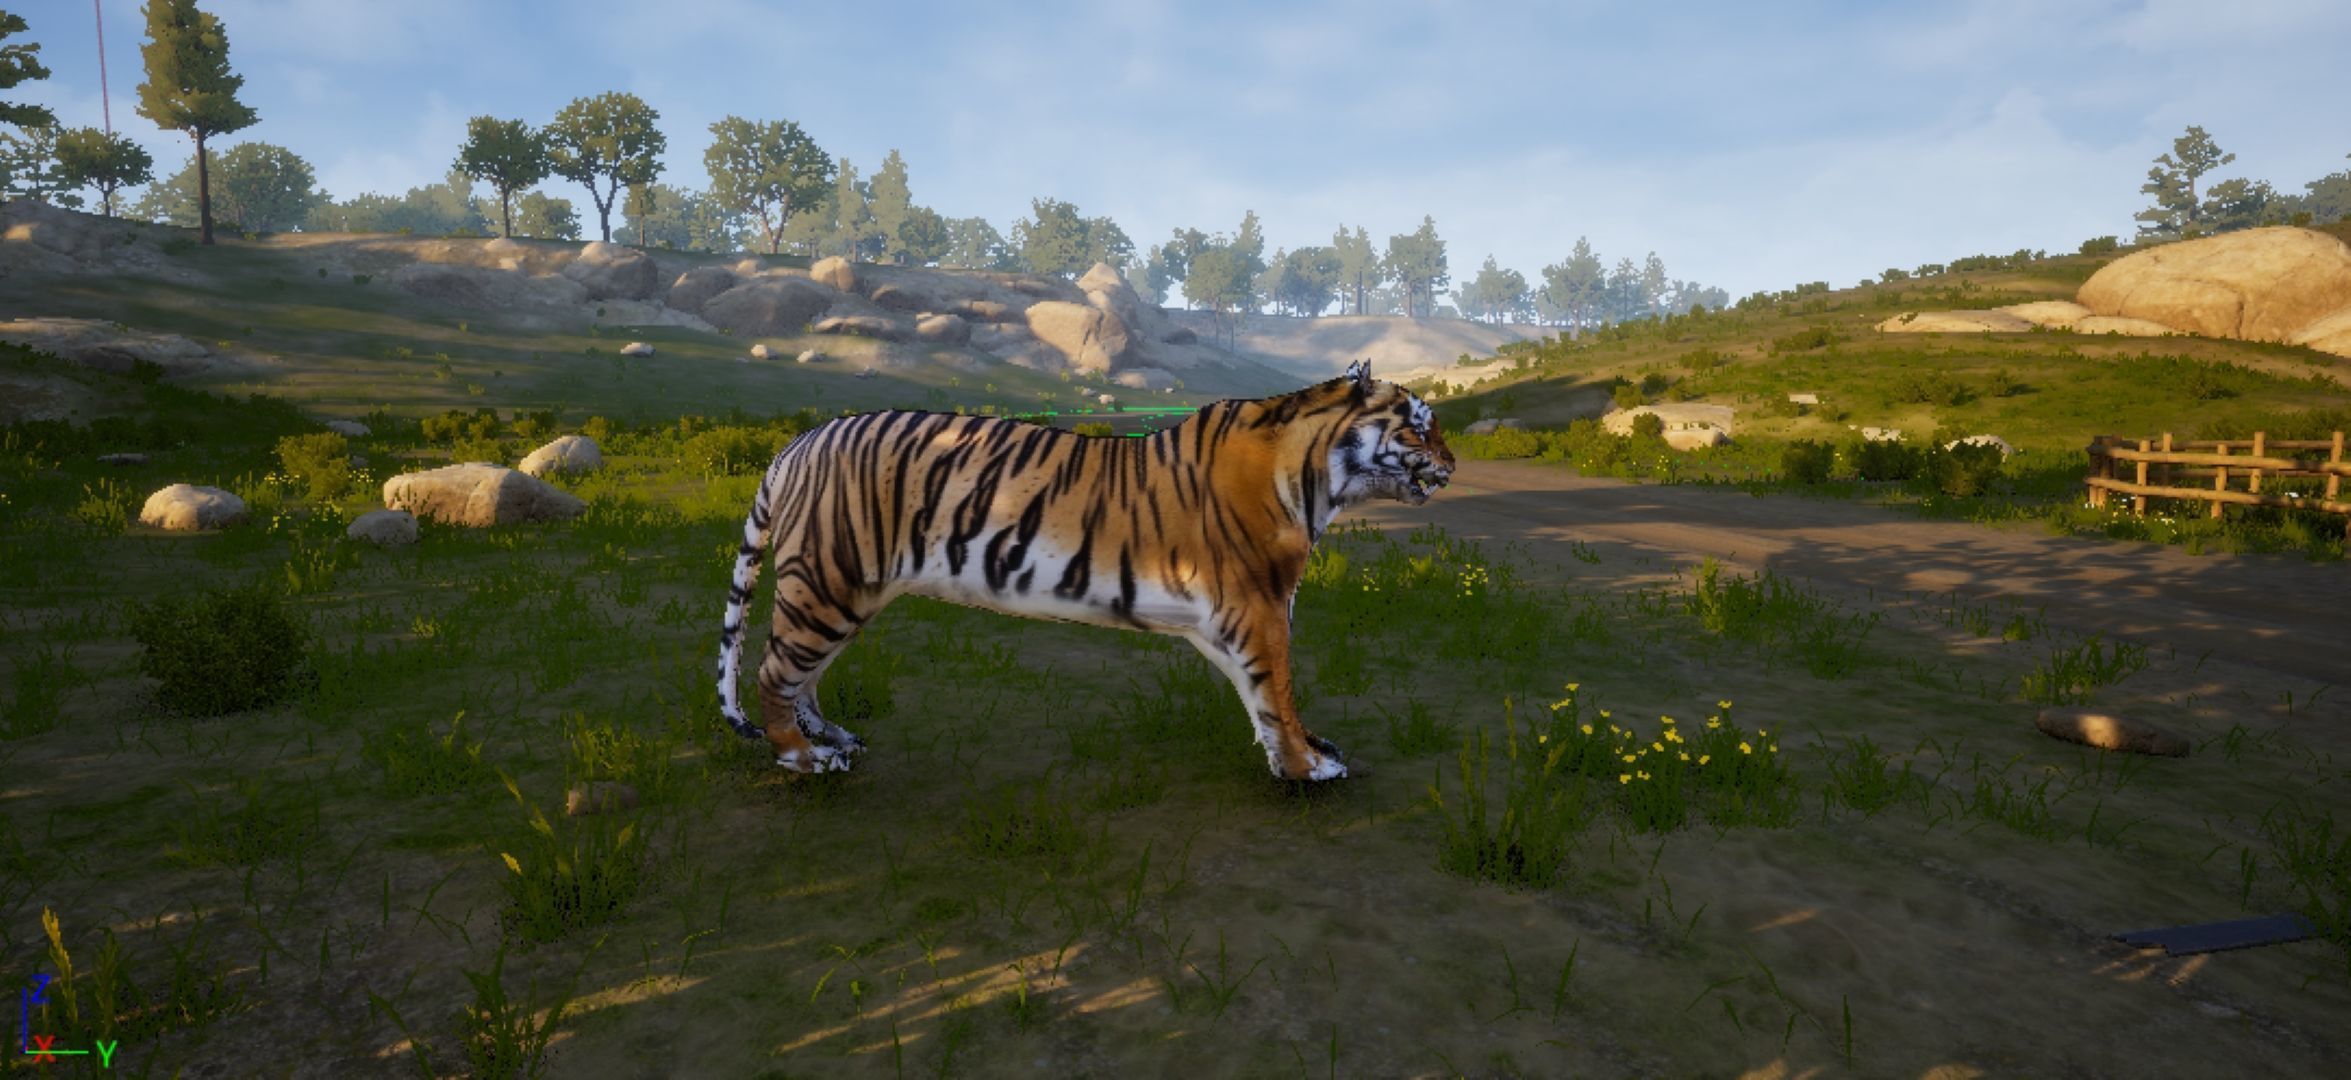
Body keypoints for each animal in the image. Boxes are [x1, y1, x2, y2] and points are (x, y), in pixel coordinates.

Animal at [714, 359, 1454, 782]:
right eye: (1419, 426)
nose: (1452, 464)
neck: (1317, 478)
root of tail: (796, 443)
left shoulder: (1226, 620)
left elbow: (1262, 699)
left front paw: (1296, 754)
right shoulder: (1258, 607)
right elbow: (1278, 691)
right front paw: (1306, 768)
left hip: (850, 594)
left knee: (806, 675)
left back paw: (835, 738)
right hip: (827, 586)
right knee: (775, 672)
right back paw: (804, 758)